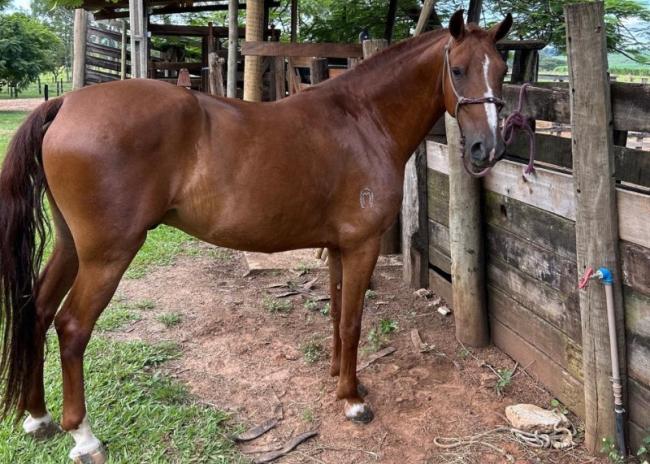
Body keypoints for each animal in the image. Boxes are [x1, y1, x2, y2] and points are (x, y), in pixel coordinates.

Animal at [0, 10, 512, 462]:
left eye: (502, 71)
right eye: (458, 69)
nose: (487, 149)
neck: (362, 120)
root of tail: (65, 103)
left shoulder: (337, 248)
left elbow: (336, 315)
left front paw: (340, 379)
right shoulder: (361, 246)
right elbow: (352, 321)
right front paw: (352, 400)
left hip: (71, 247)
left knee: (37, 311)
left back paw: (37, 417)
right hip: (108, 255)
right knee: (71, 327)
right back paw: (84, 437)